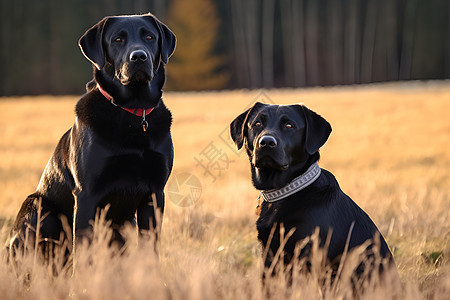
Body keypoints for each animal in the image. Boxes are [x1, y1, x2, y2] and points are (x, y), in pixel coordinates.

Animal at [7, 14, 176, 260]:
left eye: (149, 37)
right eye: (117, 39)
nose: (139, 56)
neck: (133, 113)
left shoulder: (154, 194)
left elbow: (150, 250)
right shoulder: (87, 194)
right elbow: (83, 252)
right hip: (38, 207)